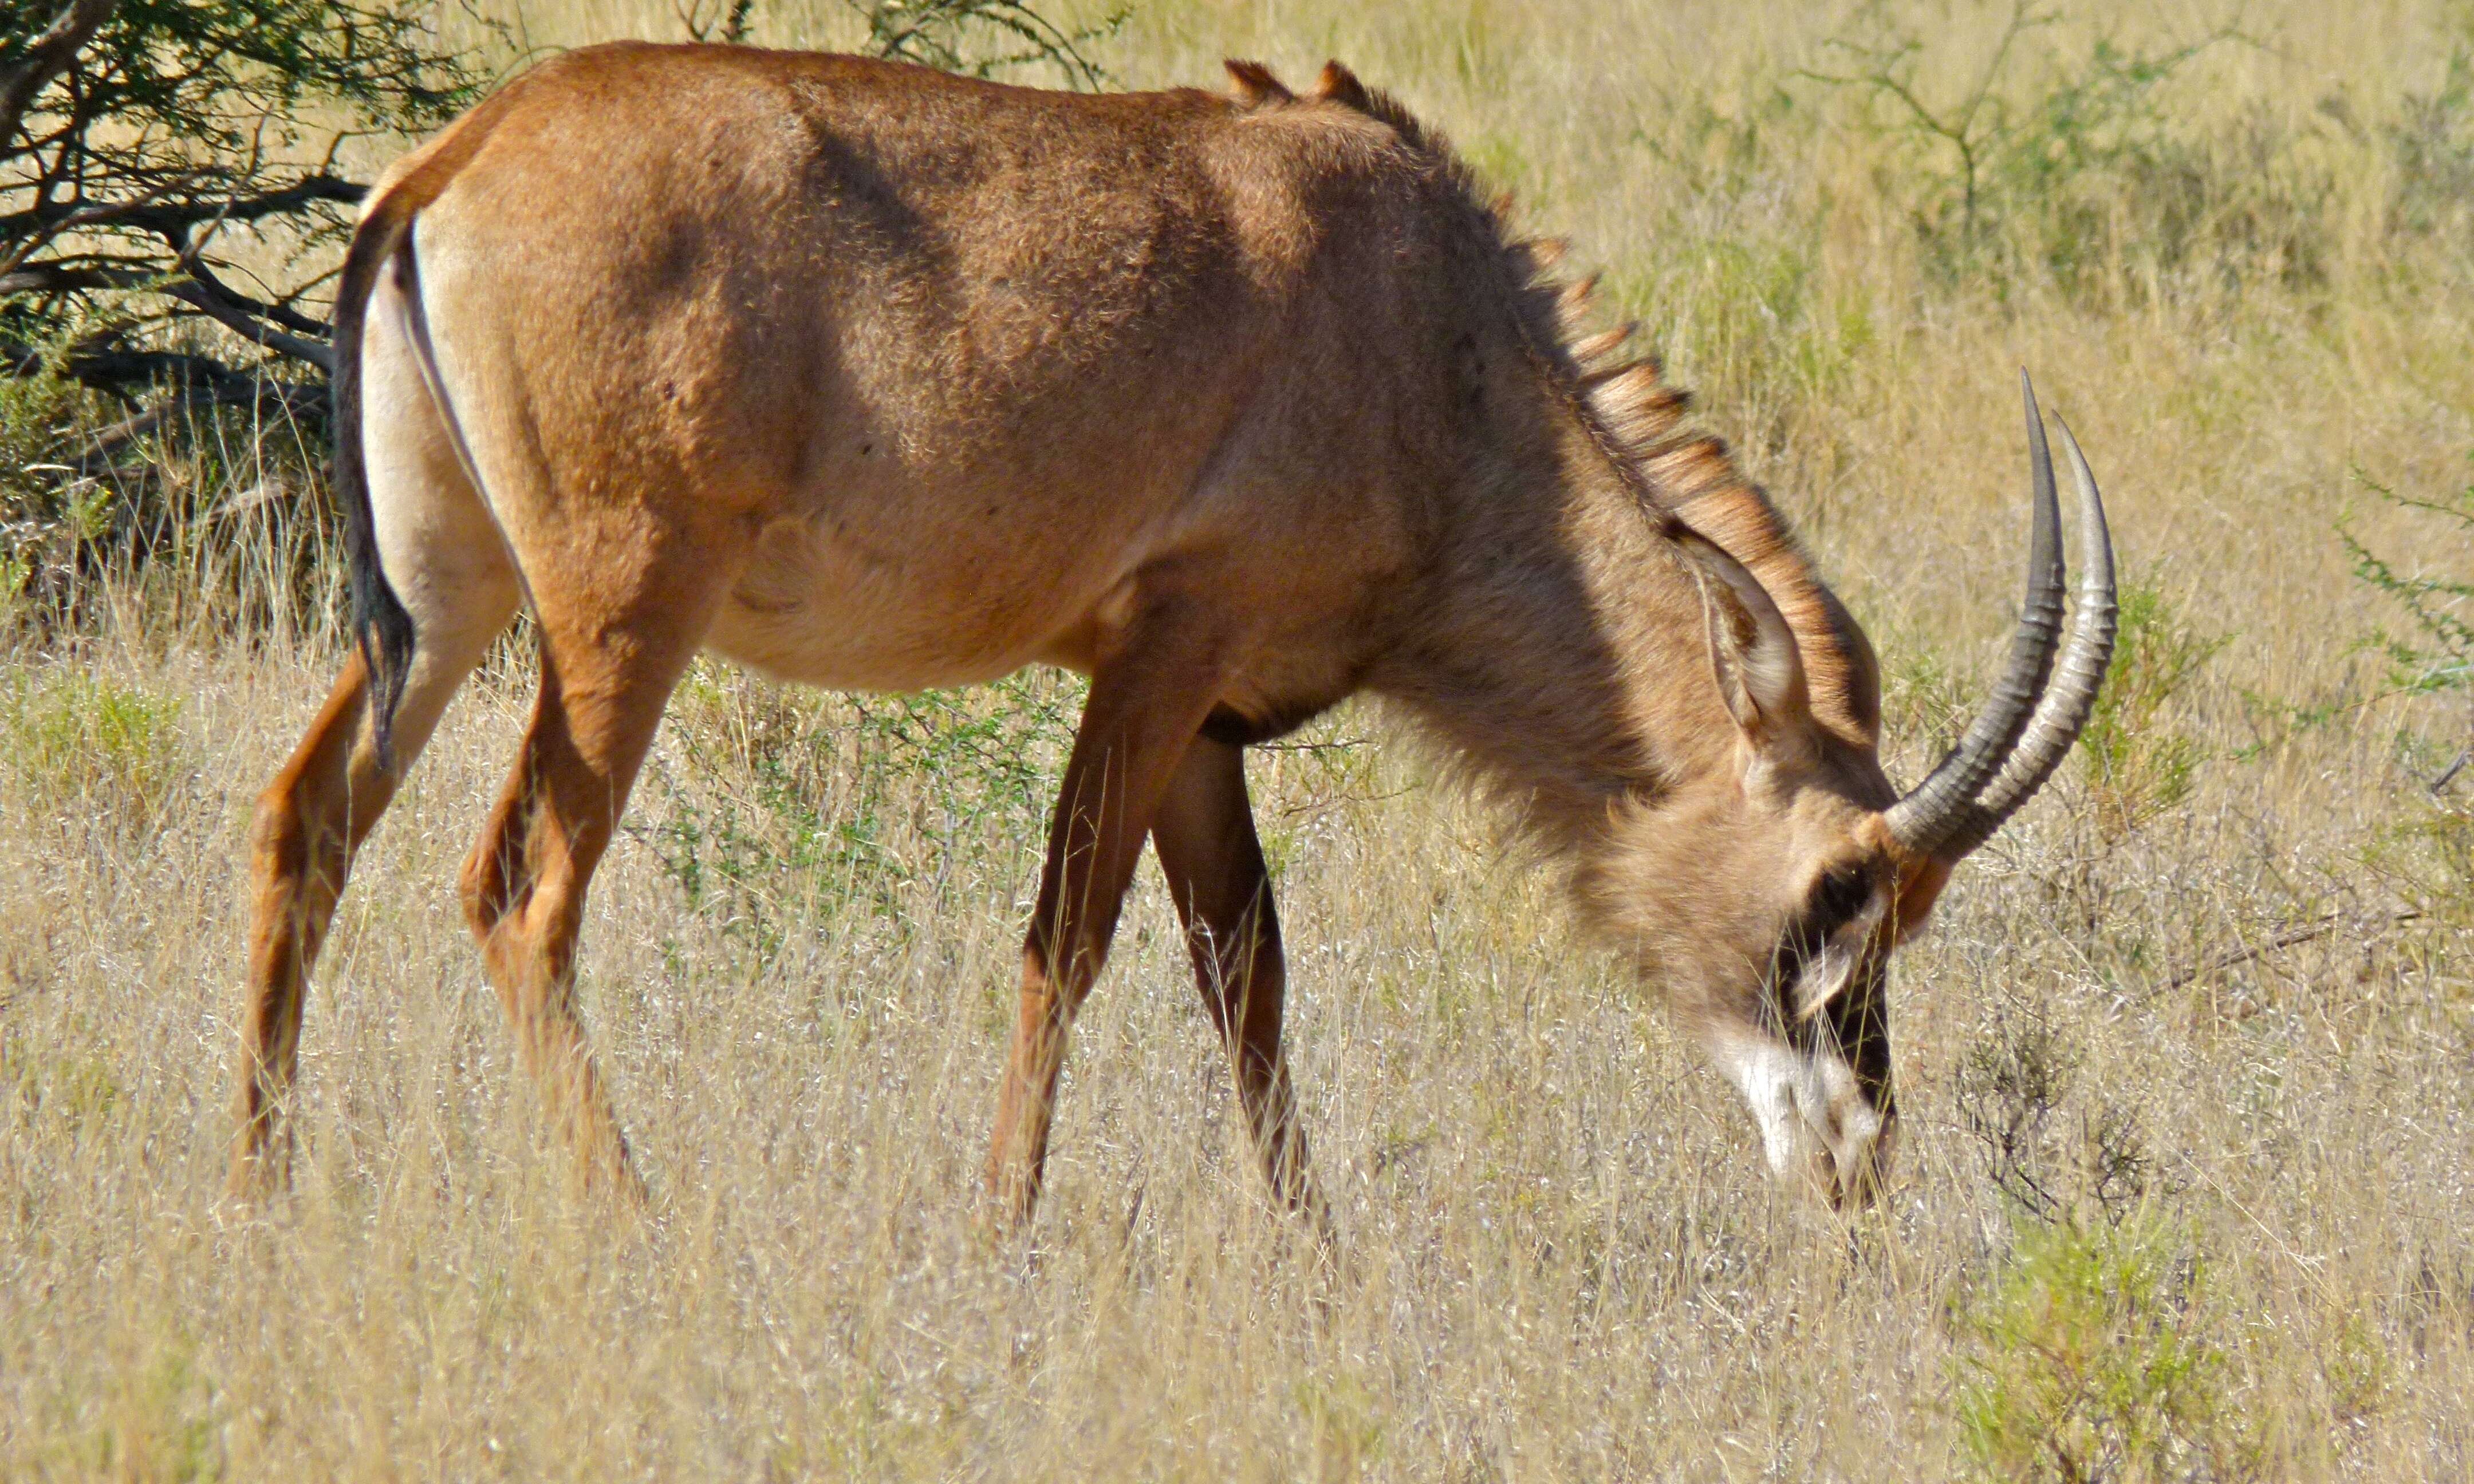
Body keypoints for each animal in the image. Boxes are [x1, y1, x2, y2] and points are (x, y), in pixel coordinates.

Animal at [233, 52, 2117, 1222]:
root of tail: (449, 167)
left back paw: (264, 1190)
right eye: (1836, 893)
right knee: (521, 889)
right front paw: (998, 1233)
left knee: (307, 817)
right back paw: (632, 1221)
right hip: (622, 618)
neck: (1432, 336)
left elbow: (1247, 973)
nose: (1857, 1160)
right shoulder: (1158, 654)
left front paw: (1314, 1250)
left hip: (453, 607)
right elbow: (1067, 941)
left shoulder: (1211, 723)